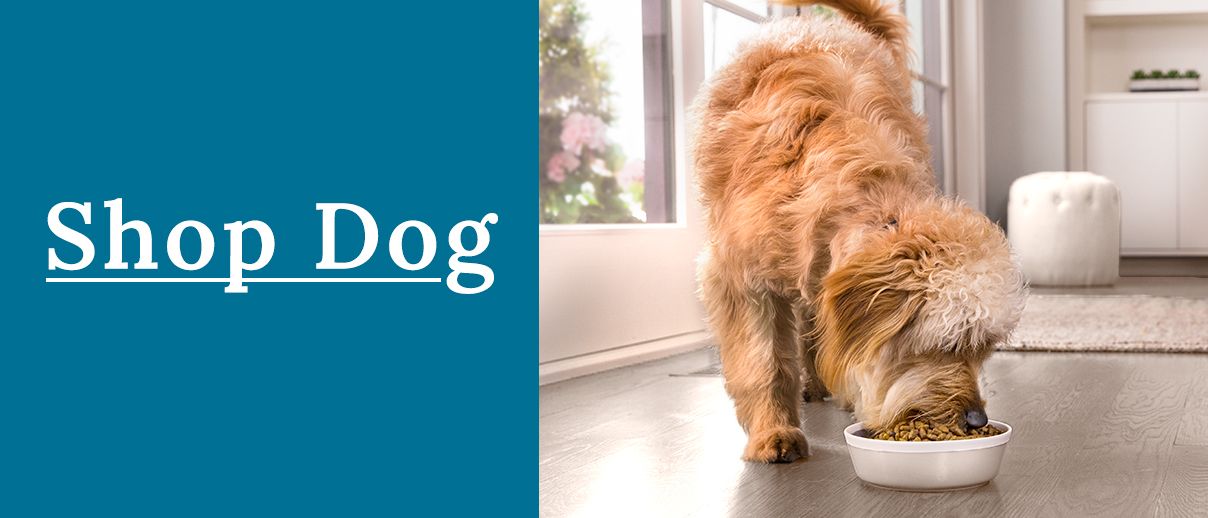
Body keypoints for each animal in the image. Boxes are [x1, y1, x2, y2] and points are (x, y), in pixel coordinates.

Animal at [695, 0, 1024, 461]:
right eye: (949, 345)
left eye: (985, 349)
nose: (976, 420)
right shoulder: (741, 279)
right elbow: (764, 362)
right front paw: (773, 431)